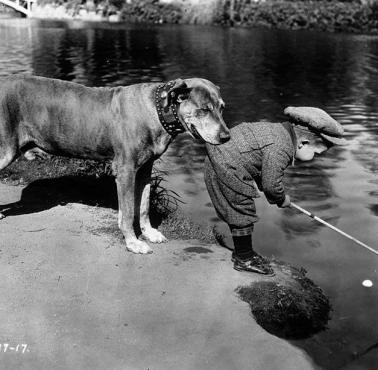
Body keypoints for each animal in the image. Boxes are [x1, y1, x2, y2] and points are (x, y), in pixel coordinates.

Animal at [0, 75, 230, 254]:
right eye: (204, 110)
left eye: (222, 108)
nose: (226, 136)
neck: (156, 111)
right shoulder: (126, 170)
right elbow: (128, 212)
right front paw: (133, 243)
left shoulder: (145, 170)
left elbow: (144, 205)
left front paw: (149, 233)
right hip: (6, 150)